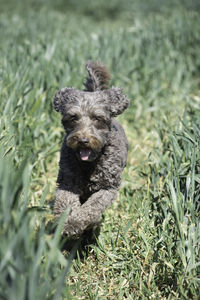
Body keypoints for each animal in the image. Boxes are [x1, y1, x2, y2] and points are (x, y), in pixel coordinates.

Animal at [52, 61, 130, 239]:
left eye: (97, 118)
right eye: (73, 117)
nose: (83, 141)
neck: (89, 164)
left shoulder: (108, 187)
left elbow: (92, 207)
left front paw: (77, 222)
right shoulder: (68, 181)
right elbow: (64, 201)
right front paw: (66, 222)